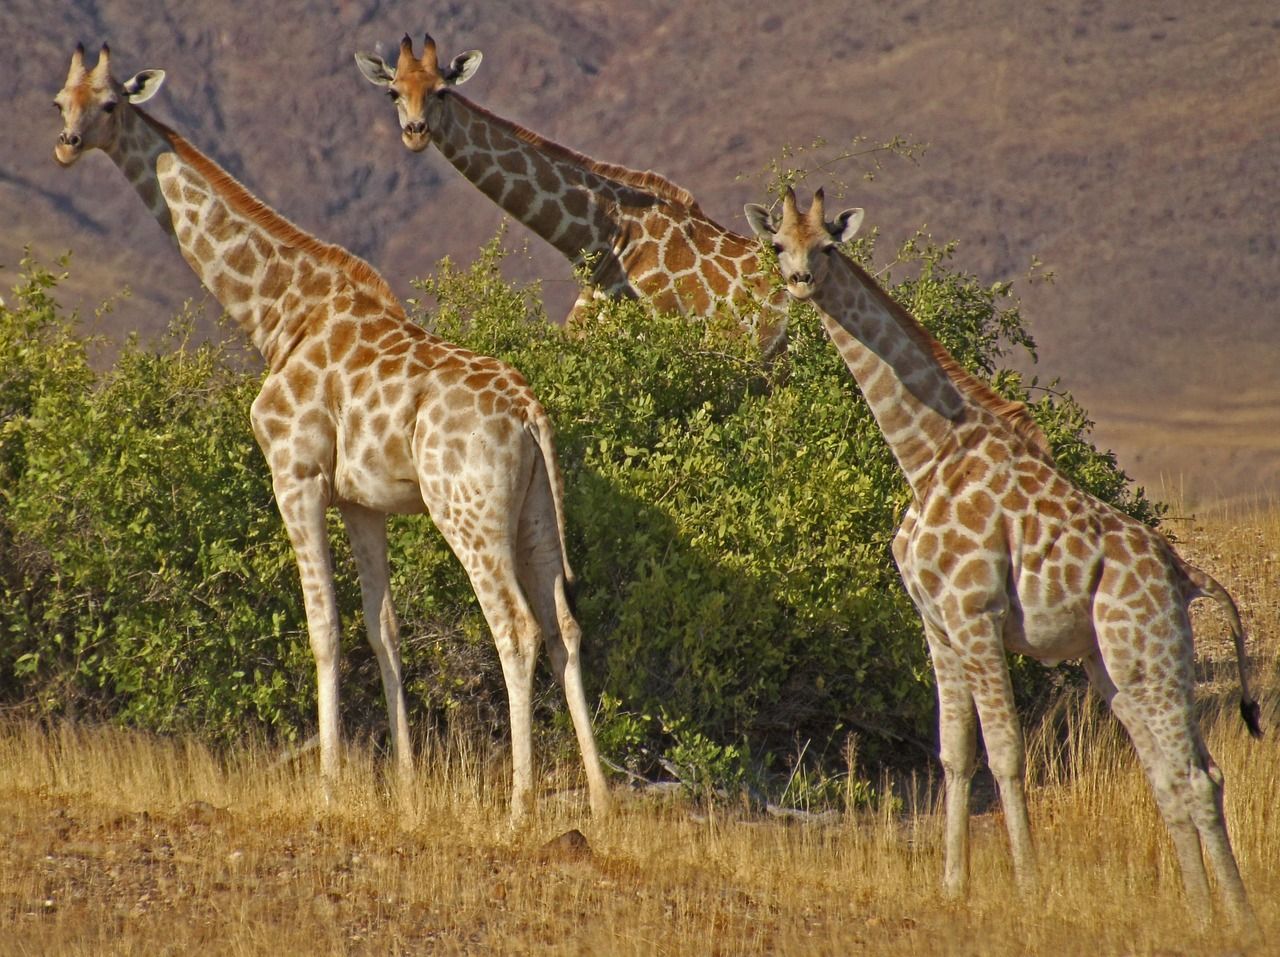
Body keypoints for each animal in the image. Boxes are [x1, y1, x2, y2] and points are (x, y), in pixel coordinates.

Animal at [49, 42, 609, 823]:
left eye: (108, 104)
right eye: (59, 101)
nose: (66, 145)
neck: (279, 314)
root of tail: (531, 413)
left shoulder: (296, 474)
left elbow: (323, 629)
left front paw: (329, 784)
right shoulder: (362, 501)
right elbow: (385, 631)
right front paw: (404, 787)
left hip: (467, 511)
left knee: (516, 628)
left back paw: (520, 808)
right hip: (534, 512)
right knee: (564, 628)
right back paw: (603, 801)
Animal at [747, 189, 1264, 936]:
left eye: (829, 246)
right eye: (778, 245)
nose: (799, 281)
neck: (925, 454)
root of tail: (1185, 575)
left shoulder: (978, 615)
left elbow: (1006, 752)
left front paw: (1028, 888)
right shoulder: (936, 625)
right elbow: (954, 751)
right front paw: (952, 884)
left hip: (1147, 652)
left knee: (1193, 776)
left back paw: (1240, 923)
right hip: (1112, 663)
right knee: (1179, 775)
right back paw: (1203, 917)